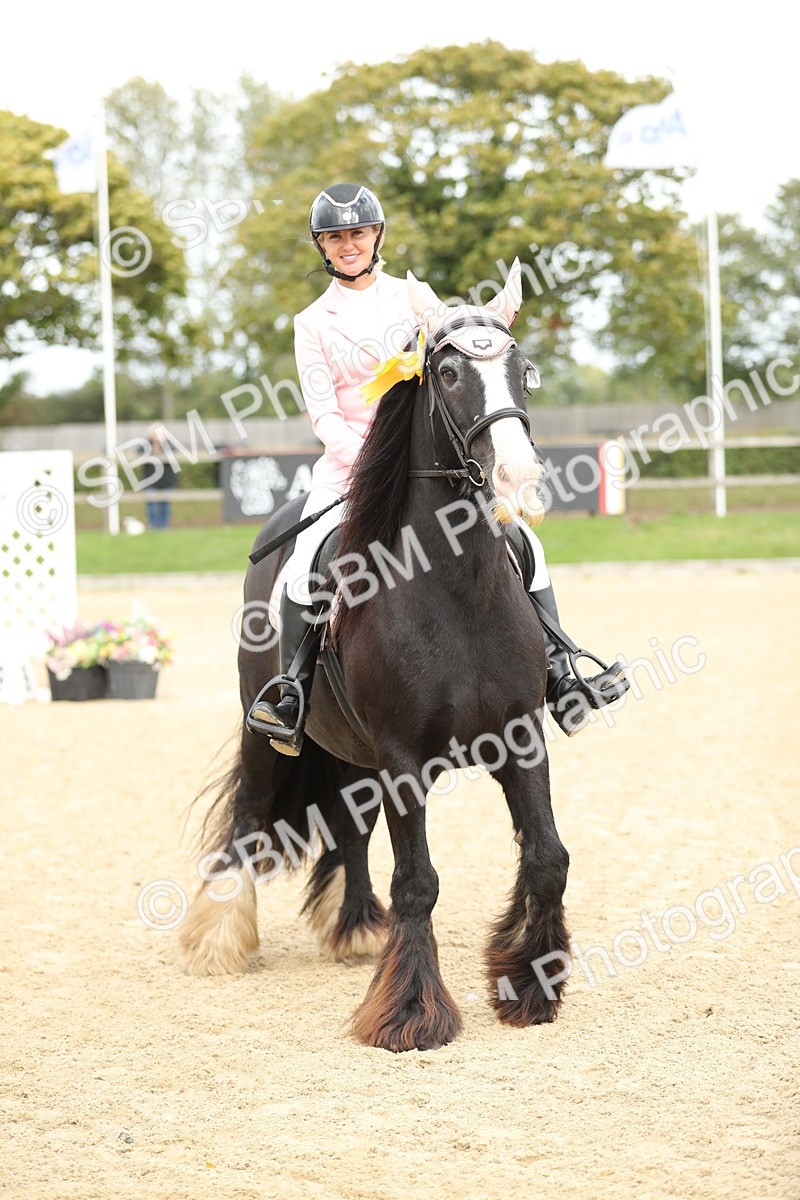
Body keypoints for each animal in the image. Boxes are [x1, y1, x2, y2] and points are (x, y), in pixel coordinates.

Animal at [179, 260, 572, 1052]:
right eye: (447, 371)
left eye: (522, 370)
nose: (517, 482)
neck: (456, 589)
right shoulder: (402, 758)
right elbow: (418, 880)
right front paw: (411, 1013)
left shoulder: (520, 738)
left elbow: (547, 857)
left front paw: (528, 984)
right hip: (268, 732)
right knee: (249, 814)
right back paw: (220, 937)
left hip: (354, 753)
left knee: (351, 827)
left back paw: (358, 927)